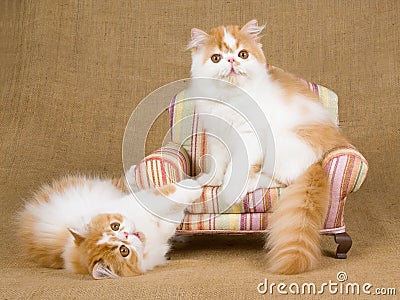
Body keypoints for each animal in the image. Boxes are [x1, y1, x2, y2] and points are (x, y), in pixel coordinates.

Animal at [17, 176, 202, 278]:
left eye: (115, 226)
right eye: (123, 251)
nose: (126, 234)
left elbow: (171, 201)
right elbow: (173, 201)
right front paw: (197, 186)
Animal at [187, 19, 346, 274]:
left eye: (242, 54)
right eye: (216, 58)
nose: (231, 61)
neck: (230, 99)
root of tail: (320, 160)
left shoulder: (248, 136)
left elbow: (237, 168)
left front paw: (229, 189)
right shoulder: (216, 135)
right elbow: (218, 163)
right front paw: (210, 180)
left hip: (281, 147)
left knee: (281, 179)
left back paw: (252, 182)